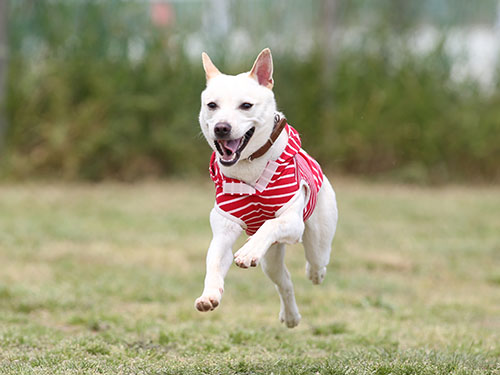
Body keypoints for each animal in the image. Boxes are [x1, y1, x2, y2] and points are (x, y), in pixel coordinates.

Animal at [193, 48, 338, 328]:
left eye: (246, 105)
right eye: (212, 105)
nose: (221, 127)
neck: (249, 164)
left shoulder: (292, 221)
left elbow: (271, 224)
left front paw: (248, 251)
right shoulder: (225, 227)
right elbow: (215, 259)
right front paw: (209, 294)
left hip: (319, 231)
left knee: (317, 260)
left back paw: (313, 273)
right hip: (271, 259)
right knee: (284, 282)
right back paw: (290, 316)